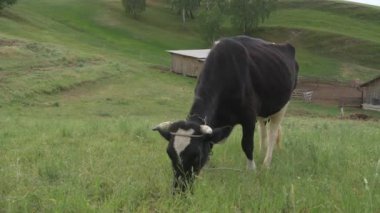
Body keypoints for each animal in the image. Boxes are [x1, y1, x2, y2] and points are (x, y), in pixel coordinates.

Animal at [153, 35, 298, 192]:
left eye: (196, 155)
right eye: (170, 154)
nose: (179, 189)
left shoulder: (249, 116)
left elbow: (247, 144)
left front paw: (251, 170)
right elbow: (210, 145)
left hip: (283, 105)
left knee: (272, 133)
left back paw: (266, 163)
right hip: (263, 111)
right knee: (263, 129)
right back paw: (261, 152)